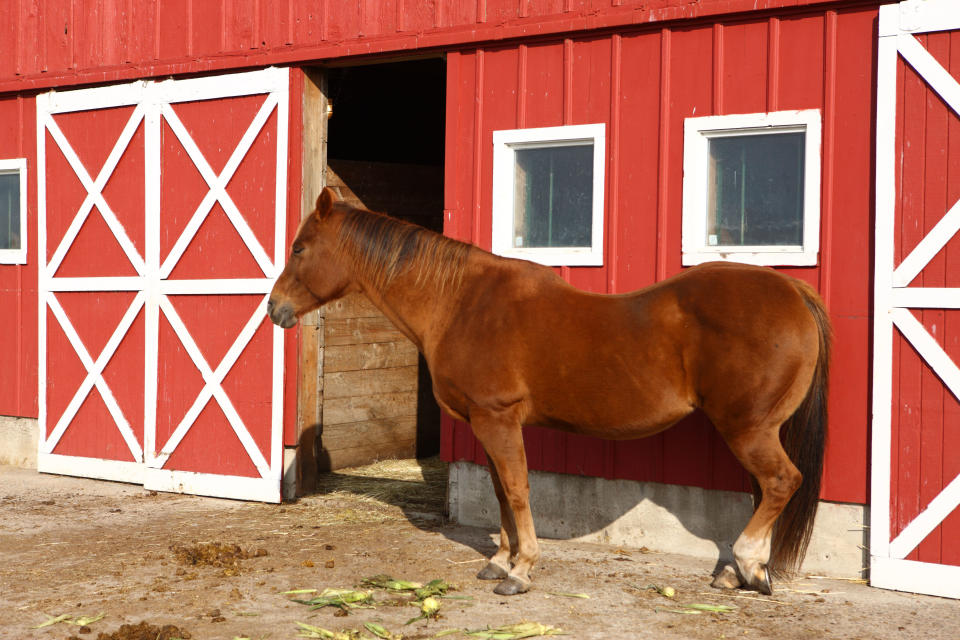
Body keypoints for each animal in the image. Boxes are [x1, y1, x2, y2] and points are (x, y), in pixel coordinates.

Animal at [266, 188, 828, 596]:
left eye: (299, 249)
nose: (274, 308)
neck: (460, 303)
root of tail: (793, 291)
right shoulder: (487, 423)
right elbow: (499, 492)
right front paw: (500, 561)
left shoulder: (497, 418)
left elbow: (517, 490)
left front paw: (521, 570)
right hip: (755, 431)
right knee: (767, 489)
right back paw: (742, 571)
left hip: (748, 429)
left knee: (781, 482)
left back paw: (746, 565)